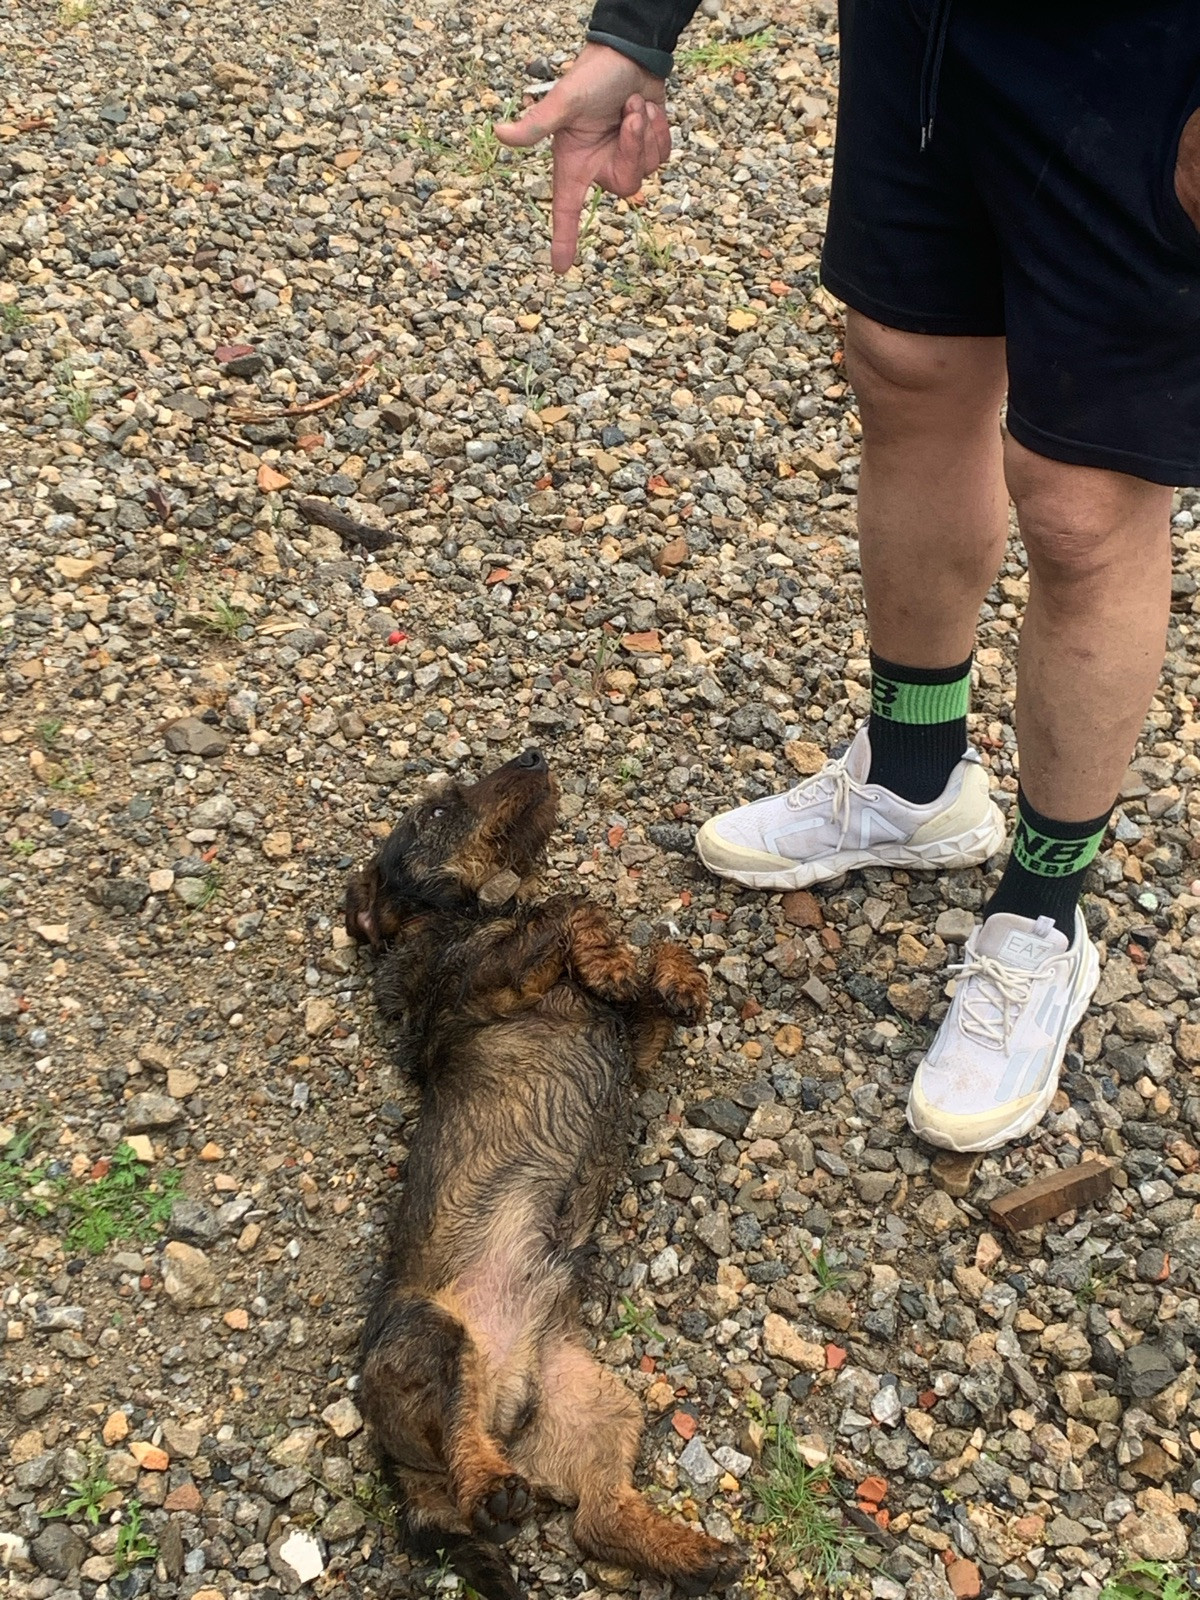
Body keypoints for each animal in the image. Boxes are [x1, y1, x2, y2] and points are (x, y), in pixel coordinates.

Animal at [345, 748, 745, 1600]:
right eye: (433, 813)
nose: (533, 753)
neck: (469, 916)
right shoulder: (486, 980)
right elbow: (570, 907)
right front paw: (608, 951)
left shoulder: (634, 1045)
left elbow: (647, 971)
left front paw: (672, 977)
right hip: (431, 1340)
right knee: (463, 1446)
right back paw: (493, 1488)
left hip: (598, 1406)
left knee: (597, 1520)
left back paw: (695, 1555)